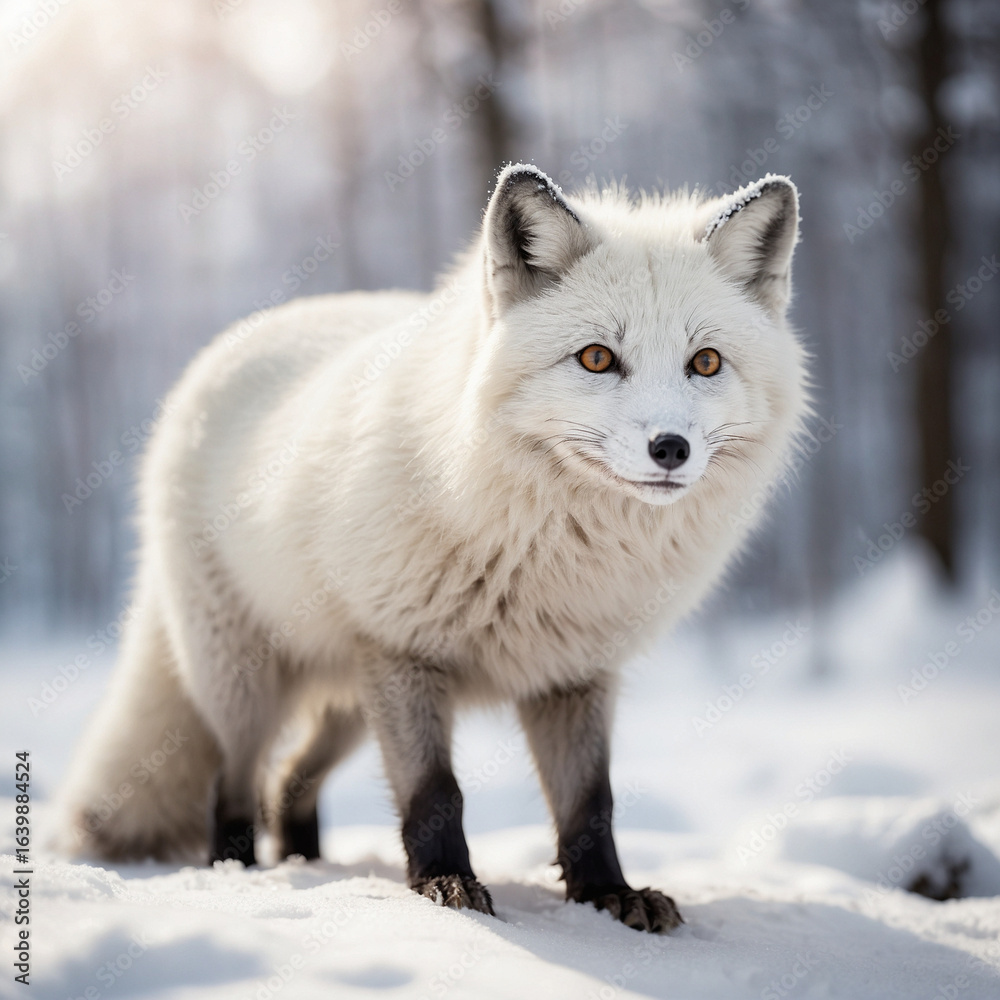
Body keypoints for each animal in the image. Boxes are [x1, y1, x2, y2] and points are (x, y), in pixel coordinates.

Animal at [60, 163, 807, 934]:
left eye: (706, 363)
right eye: (597, 359)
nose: (671, 448)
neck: (554, 554)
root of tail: (232, 340)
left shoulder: (573, 673)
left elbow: (589, 805)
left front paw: (607, 894)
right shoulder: (402, 651)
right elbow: (435, 792)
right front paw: (446, 886)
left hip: (349, 703)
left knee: (290, 780)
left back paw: (307, 862)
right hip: (248, 683)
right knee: (236, 784)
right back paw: (239, 870)